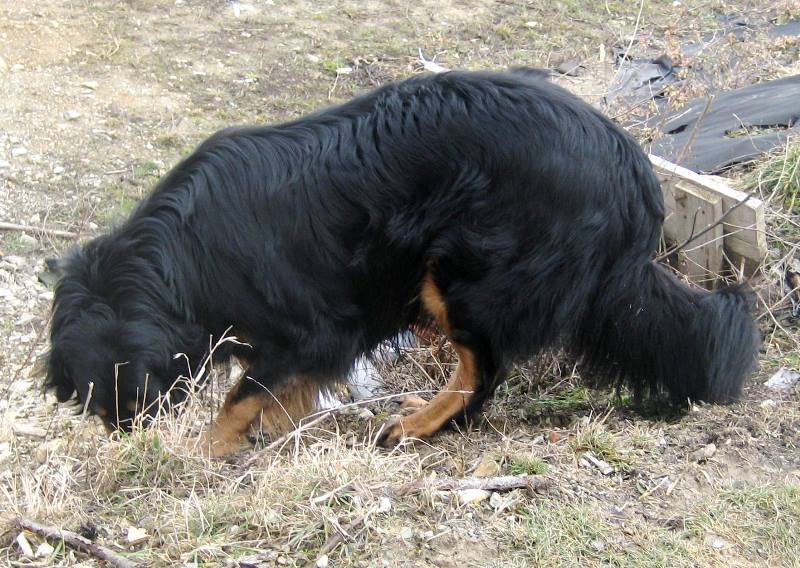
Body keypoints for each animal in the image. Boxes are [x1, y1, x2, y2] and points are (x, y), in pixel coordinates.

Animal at [42, 69, 760, 456]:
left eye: (121, 398)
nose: (127, 439)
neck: (176, 262)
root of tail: (631, 171)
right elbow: (270, 393)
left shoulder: (315, 327)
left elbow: (240, 396)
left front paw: (204, 454)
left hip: (460, 274)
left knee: (481, 374)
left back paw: (416, 426)